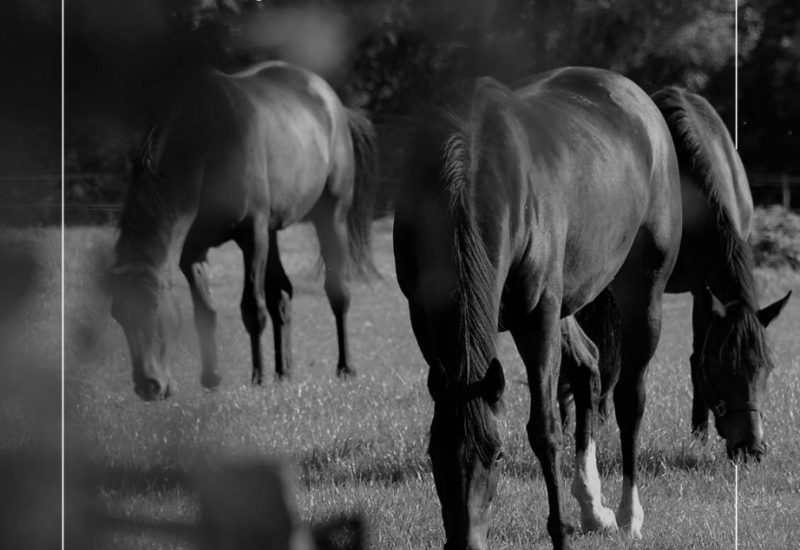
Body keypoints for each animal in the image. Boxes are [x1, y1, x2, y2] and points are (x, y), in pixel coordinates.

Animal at [106, 62, 378, 404]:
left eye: (155, 306)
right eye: (118, 314)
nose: (148, 386)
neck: (206, 142)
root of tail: (333, 102)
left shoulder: (252, 235)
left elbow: (252, 307)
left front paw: (257, 377)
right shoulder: (191, 251)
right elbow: (205, 311)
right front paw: (212, 378)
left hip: (331, 216)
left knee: (337, 291)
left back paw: (344, 367)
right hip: (274, 230)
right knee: (281, 294)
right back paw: (283, 372)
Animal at [394, 68, 680, 550]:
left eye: (497, 456)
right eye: (434, 454)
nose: (466, 543)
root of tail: (636, 98)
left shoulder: (537, 316)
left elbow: (544, 430)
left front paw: (560, 533)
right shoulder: (422, 317)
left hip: (643, 291)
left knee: (630, 399)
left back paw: (628, 514)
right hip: (566, 305)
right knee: (587, 365)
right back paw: (592, 507)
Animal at [560, 87, 792, 462]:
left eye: (768, 368)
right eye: (721, 366)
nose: (751, 448)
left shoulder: (702, 287)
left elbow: (696, 352)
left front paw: (698, 433)